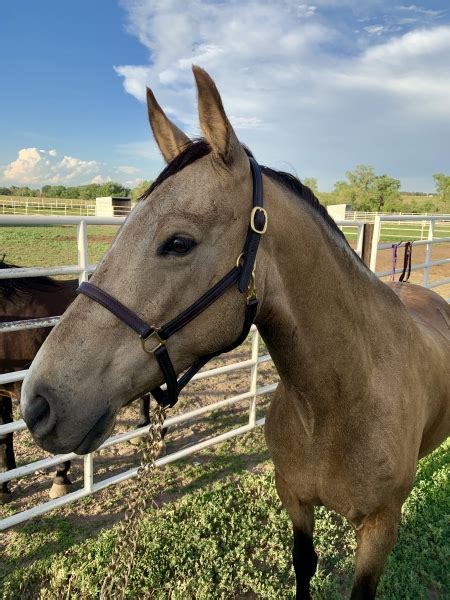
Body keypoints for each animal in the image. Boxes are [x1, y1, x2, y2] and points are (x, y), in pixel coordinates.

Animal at [19, 68, 448, 596]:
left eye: (178, 243)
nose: (36, 403)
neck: (339, 404)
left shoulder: (380, 530)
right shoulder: (294, 500)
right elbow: (304, 565)